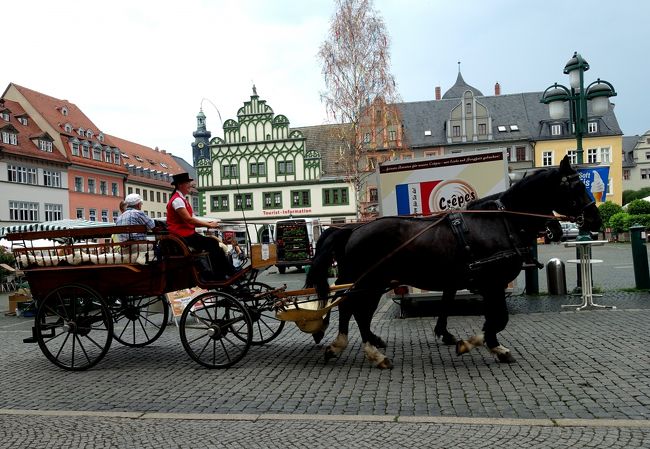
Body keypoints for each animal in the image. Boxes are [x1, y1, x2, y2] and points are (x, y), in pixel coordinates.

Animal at [306, 158, 600, 368]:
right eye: (576, 186)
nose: (595, 219)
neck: (501, 222)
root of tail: (353, 229)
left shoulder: (487, 285)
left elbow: (492, 317)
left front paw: (487, 344)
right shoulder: (493, 282)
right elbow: (498, 318)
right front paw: (476, 344)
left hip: (372, 283)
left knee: (354, 310)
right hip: (368, 280)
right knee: (351, 309)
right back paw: (363, 350)